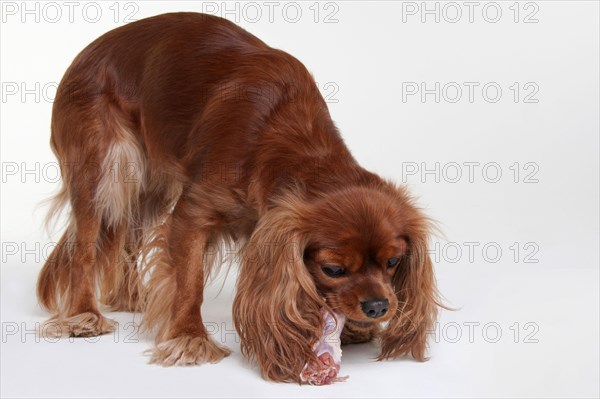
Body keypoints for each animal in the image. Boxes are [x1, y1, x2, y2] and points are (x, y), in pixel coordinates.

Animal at [36, 12, 440, 384]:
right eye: (334, 269)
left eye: (393, 262)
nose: (377, 306)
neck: (284, 135)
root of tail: (87, 52)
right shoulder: (193, 215)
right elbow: (190, 282)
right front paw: (189, 337)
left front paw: (354, 328)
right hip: (104, 170)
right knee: (84, 248)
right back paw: (83, 315)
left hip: (149, 184)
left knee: (130, 239)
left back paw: (133, 299)